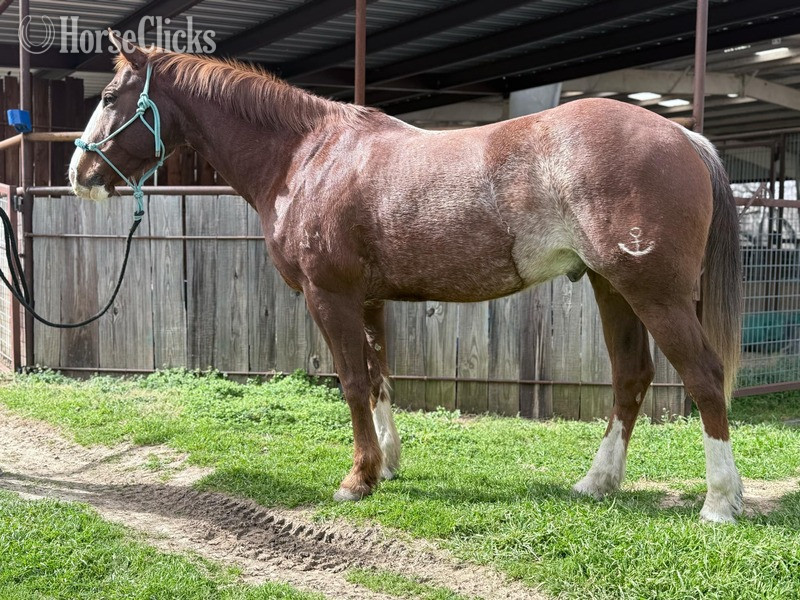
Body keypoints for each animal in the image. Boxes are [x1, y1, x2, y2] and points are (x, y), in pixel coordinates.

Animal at [70, 33, 744, 523]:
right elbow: (378, 380)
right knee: (632, 378)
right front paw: (387, 465)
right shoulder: (368, 301)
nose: (79, 174)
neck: (309, 156)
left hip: (654, 293)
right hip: (612, 288)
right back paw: (598, 482)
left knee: (704, 377)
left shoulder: (330, 297)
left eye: (109, 97)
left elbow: (350, 383)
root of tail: (683, 134)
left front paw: (356, 479)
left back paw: (719, 503)